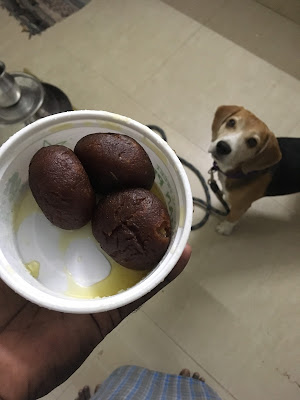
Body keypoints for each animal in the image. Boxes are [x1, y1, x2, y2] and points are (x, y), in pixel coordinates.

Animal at [210, 105, 300, 234]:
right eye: (231, 122)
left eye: (252, 142)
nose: (223, 147)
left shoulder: (242, 206)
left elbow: (232, 218)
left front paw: (224, 228)